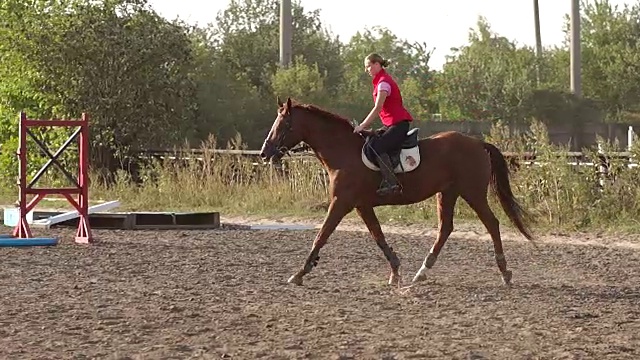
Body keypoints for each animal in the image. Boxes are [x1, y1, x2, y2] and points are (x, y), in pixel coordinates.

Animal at [260, 97, 536, 288]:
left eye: (284, 124)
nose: (265, 153)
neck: (343, 151)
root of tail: (478, 142)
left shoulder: (341, 202)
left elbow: (321, 236)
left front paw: (299, 274)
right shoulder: (362, 205)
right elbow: (378, 236)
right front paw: (395, 271)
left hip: (473, 192)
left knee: (492, 223)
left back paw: (505, 272)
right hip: (447, 193)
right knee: (445, 229)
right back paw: (422, 272)